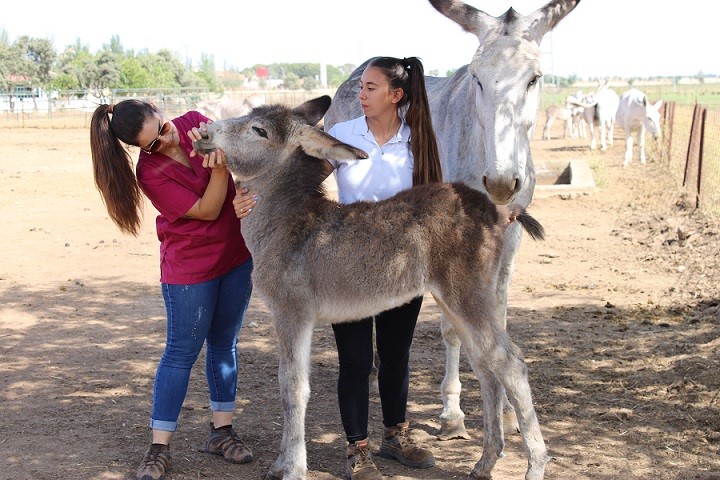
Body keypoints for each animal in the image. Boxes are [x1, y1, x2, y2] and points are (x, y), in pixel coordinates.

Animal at [194, 94, 548, 480]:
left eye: (259, 130)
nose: (204, 131)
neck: (286, 223)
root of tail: (494, 209)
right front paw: (280, 464)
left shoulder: (292, 312)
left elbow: (292, 388)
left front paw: (292, 468)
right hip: (455, 301)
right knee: (487, 369)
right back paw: (485, 462)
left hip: (468, 296)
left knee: (510, 364)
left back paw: (535, 466)